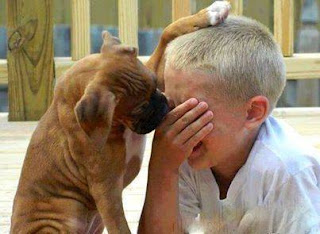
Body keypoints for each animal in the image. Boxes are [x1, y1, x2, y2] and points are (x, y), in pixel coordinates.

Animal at [10, 1, 230, 232]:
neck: (115, 125)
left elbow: (167, 32)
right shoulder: (106, 191)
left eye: (155, 85)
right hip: (56, 220)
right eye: (140, 108)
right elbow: (120, 226)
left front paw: (211, 12)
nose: (164, 104)